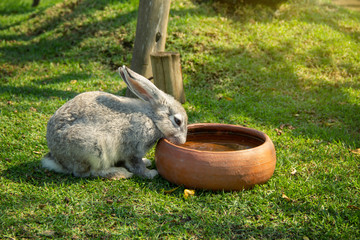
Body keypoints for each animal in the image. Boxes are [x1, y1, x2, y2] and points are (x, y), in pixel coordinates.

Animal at [41, 65, 188, 178]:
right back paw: (120, 173)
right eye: (177, 121)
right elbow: (136, 165)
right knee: (90, 172)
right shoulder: (133, 149)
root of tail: (59, 160)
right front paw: (150, 173)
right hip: (93, 149)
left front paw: (146, 162)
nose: (182, 141)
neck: (152, 118)